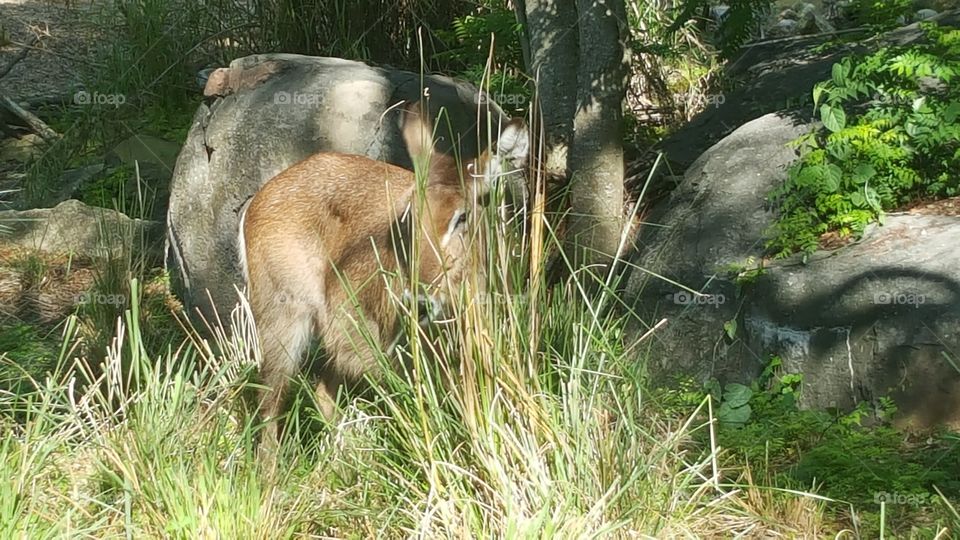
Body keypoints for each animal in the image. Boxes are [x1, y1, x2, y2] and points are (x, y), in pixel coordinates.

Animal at [238, 99, 524, 446]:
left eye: (462, 216)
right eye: (410, 214)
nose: (418, 301)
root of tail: (258, 198)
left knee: (321, 396)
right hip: (283, 317)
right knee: (269, 404)